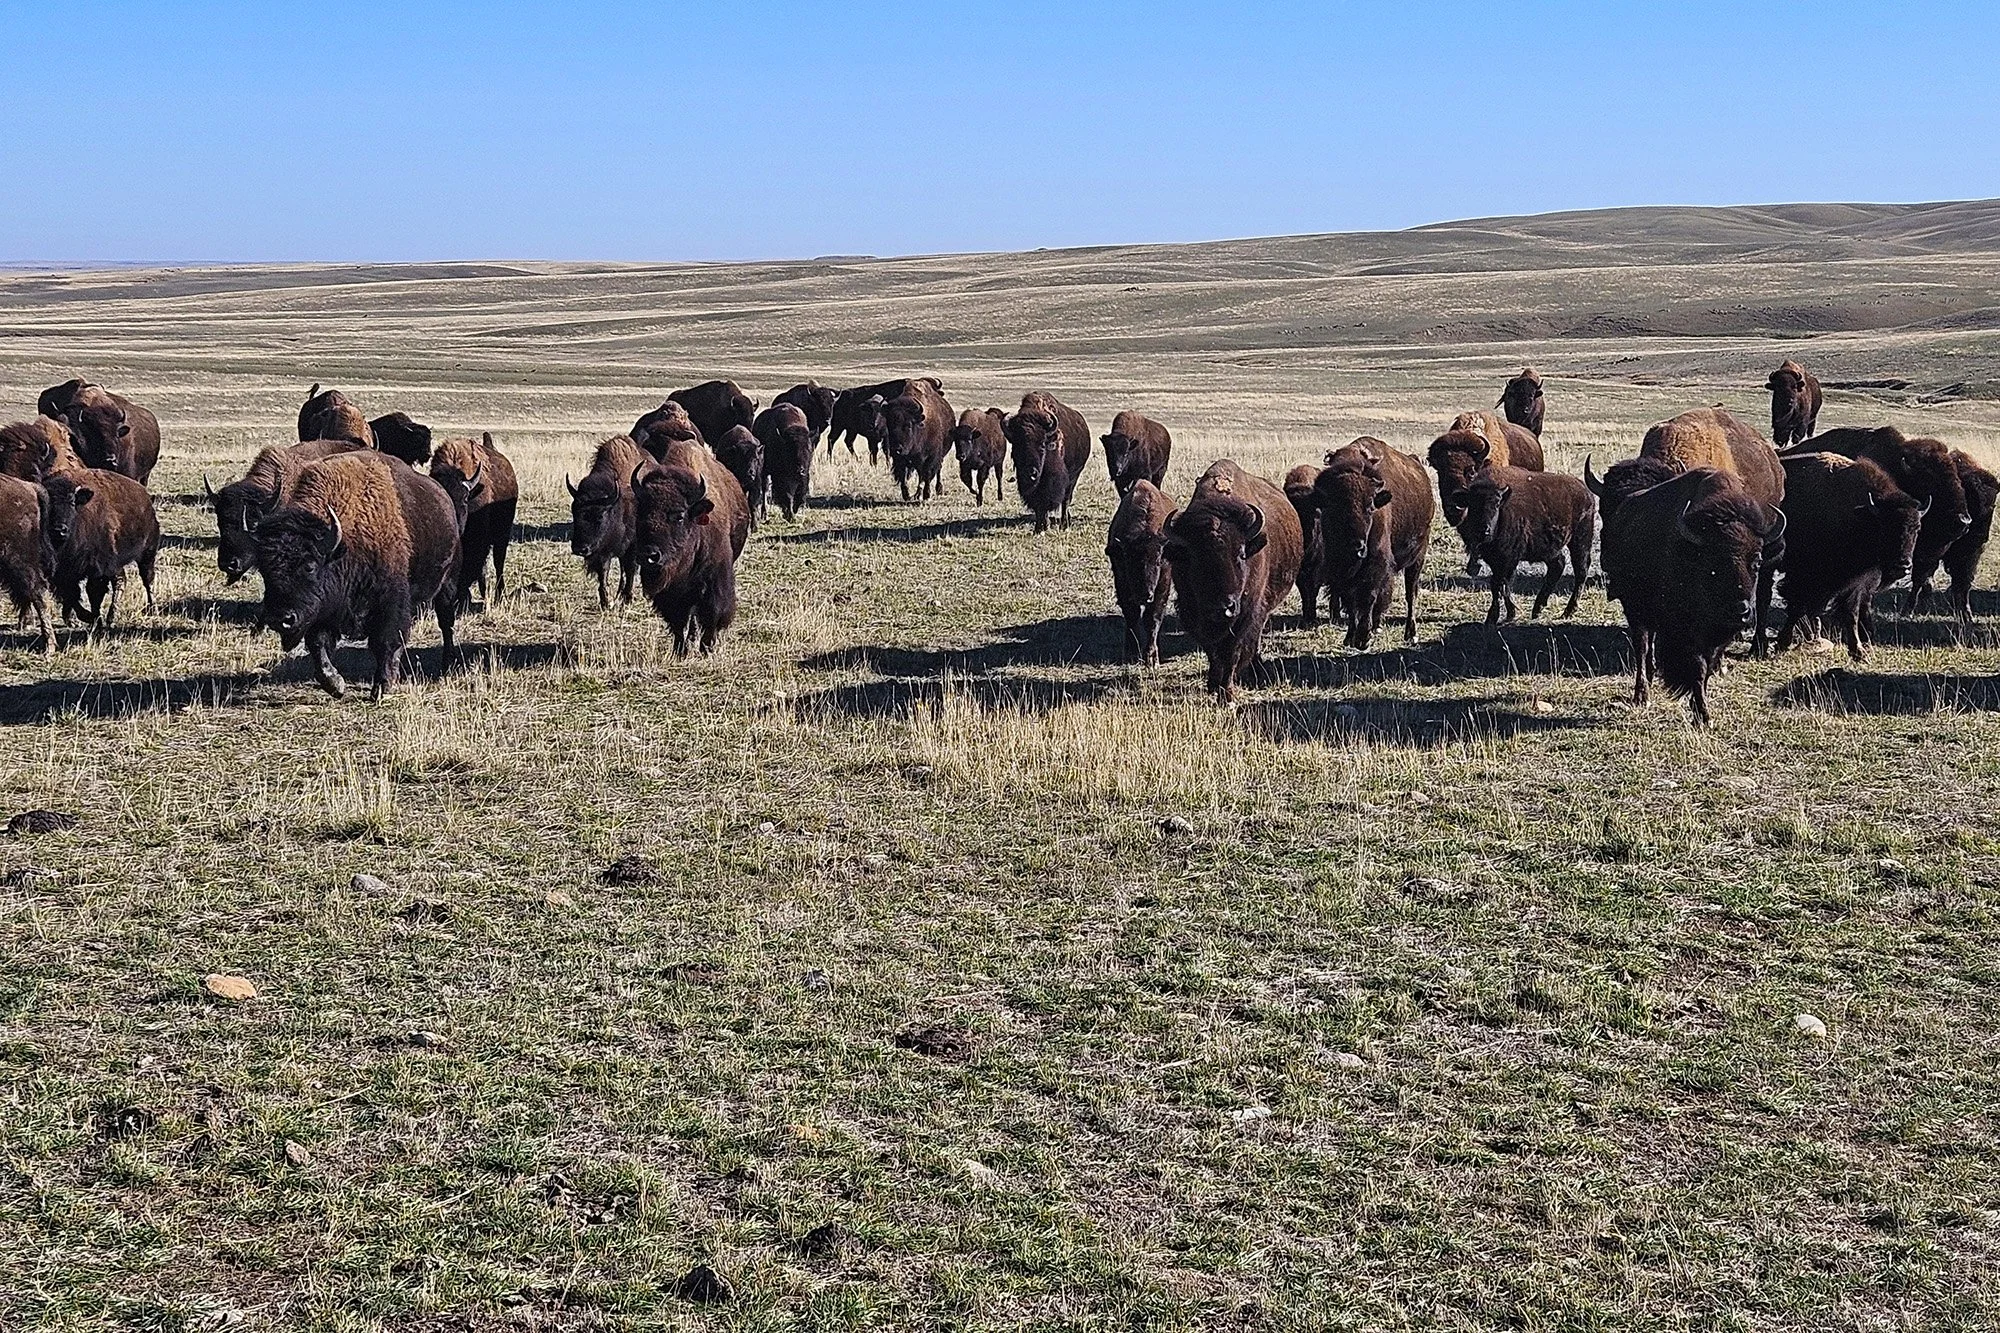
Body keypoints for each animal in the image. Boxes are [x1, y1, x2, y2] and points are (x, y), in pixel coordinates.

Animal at [255, 451, 461, 699]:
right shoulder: (323, 611)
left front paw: (381, 687)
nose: (280, 618)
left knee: (446, 622)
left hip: (447, 583)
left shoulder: (389, 602)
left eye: (310, 566)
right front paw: (335, 685)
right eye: (264, 569)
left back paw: (448, 662)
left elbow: (385, 642)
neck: (344, 545)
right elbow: (317, 644)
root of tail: (444, 498)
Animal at [1163, 460, 1303, 701]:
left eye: (1241, 553)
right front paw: (1213, 685)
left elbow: (1231, 652)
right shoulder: (1194, 615)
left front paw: (1226, 693)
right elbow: (1213, 651)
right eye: (1193, 557)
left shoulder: (1245, 614)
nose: (1223, 608)